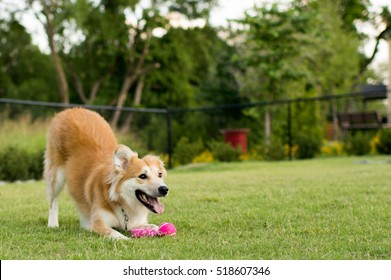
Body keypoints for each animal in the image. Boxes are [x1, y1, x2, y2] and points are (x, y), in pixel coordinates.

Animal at [44, 108, 168, 240]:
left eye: (160, 175)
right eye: (142, 176)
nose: (164, 189)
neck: (123, 202)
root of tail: (71, 110)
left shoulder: (136, 223)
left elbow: (154, 226)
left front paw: (159, 229)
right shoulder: (99, 224)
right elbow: (116, 234)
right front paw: (126, 239)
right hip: (56, 176)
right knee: (53, 201)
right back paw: (53, 224)